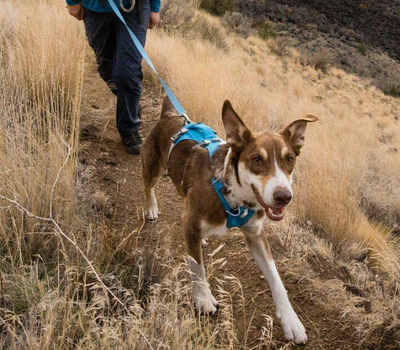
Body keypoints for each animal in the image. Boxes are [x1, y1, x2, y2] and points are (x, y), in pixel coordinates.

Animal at [141, 96, 318, 344]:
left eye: (289, 159)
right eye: (256, 159)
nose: (283, 197)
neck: (234, 196)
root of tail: (168, 115)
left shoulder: (256, 235)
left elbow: (277, 280)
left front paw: (291, 320)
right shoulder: (192, 223)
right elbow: (197, 267)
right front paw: (203, 298)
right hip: (152, 167)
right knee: (148, 187)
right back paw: (152, 208)